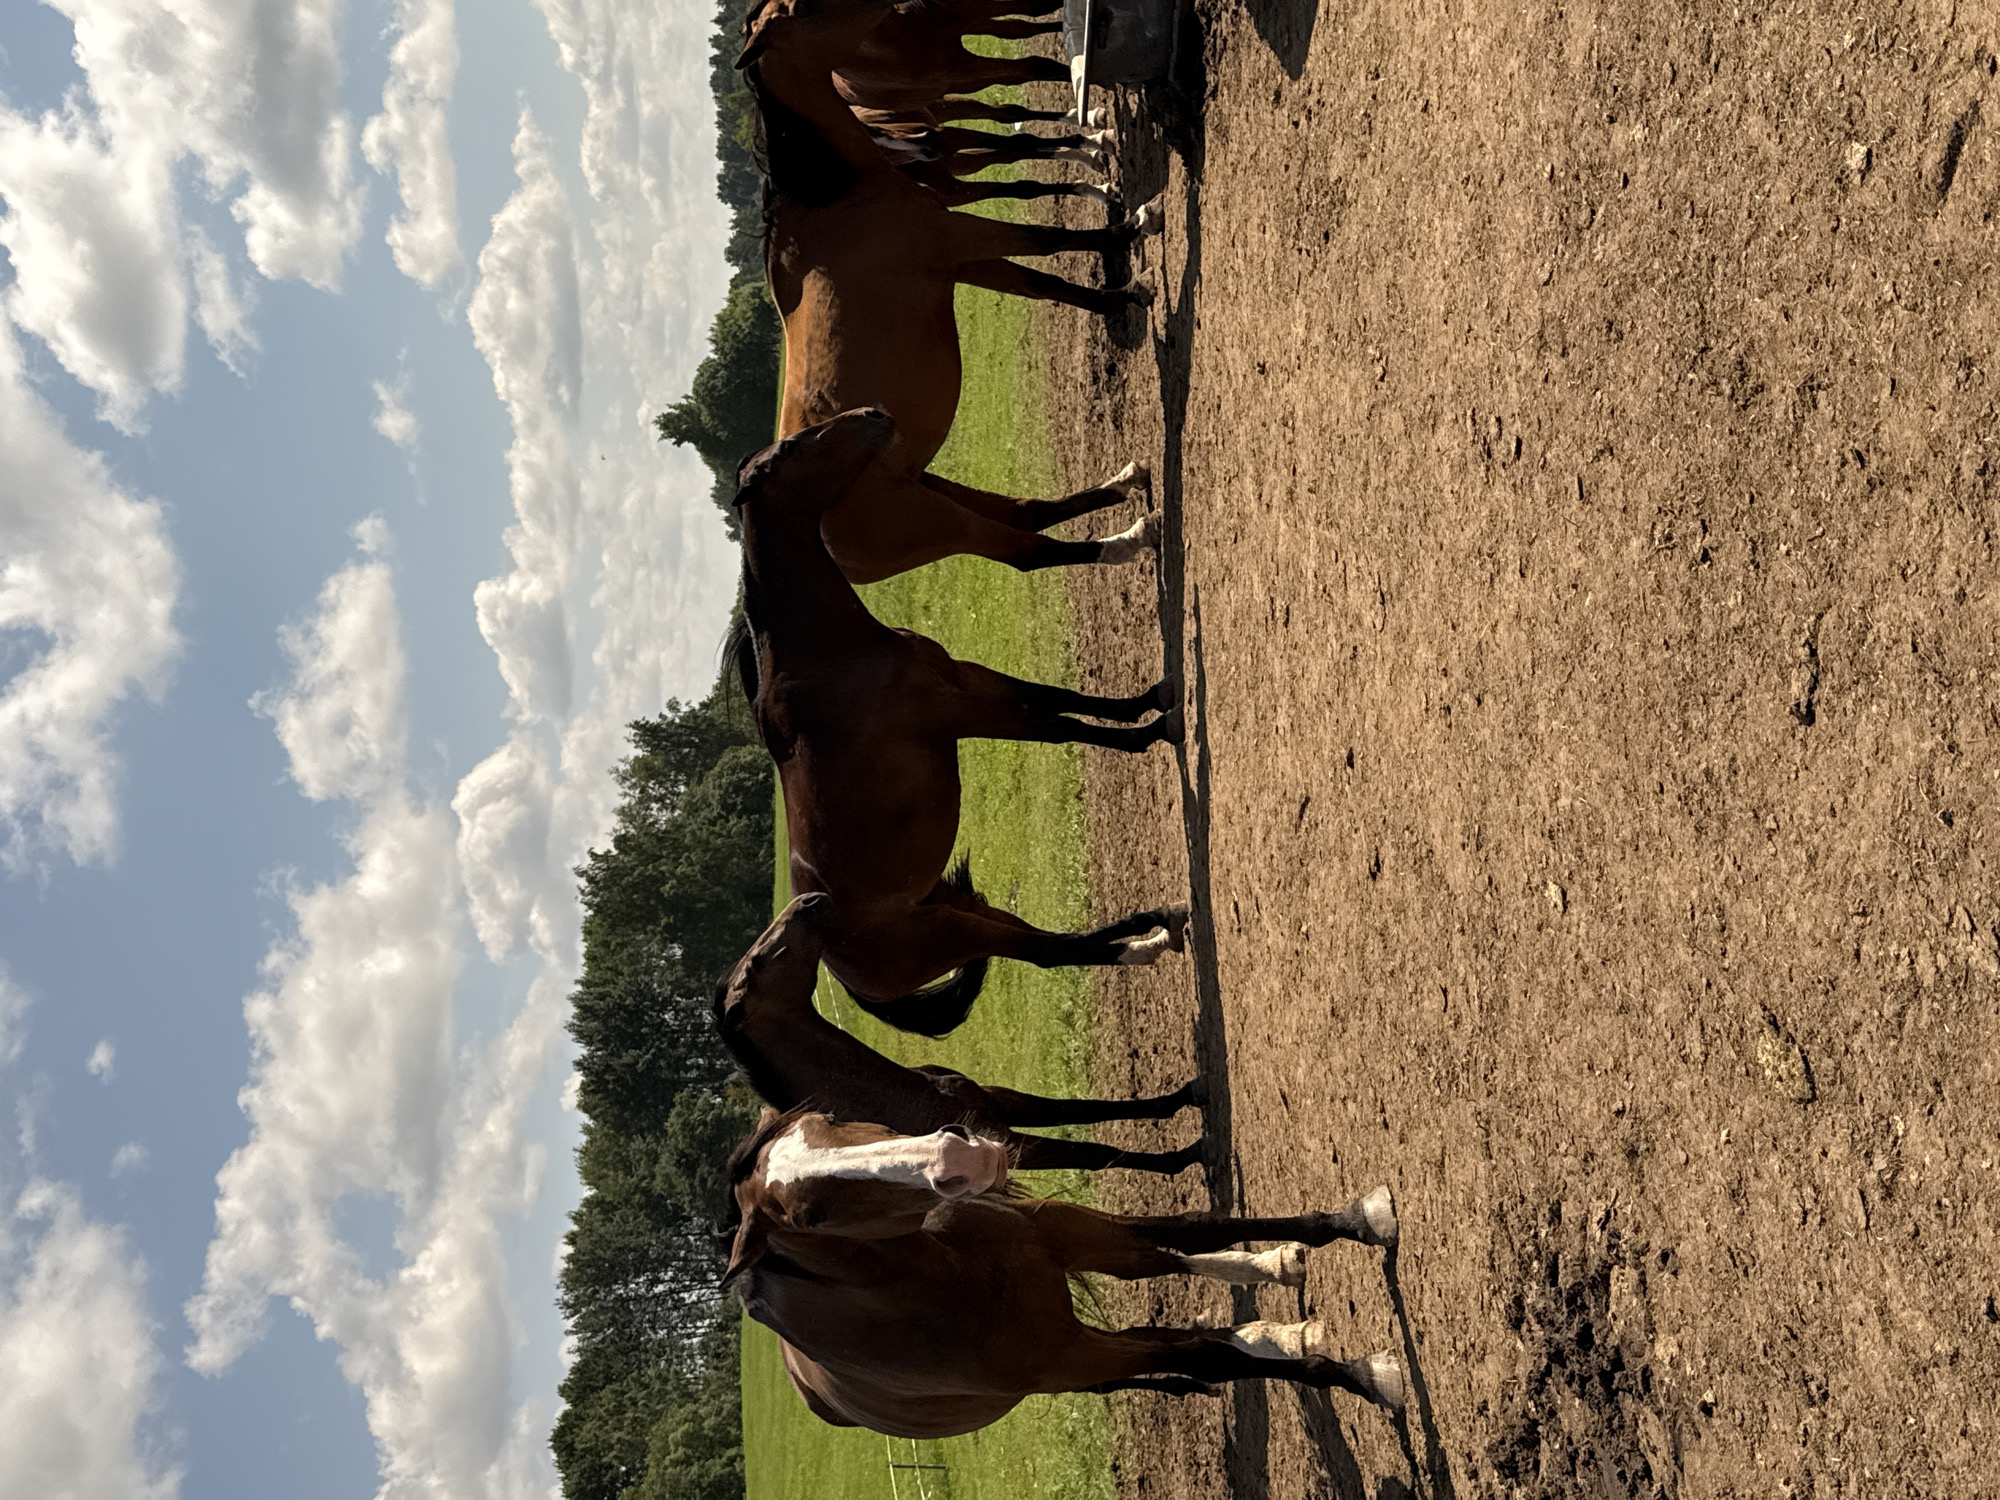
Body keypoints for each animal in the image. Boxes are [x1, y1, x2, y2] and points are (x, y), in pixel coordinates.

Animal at [716, 893, 1205, 1173]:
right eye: (759, 961)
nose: (808, 900)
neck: (899, 1095)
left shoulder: (996, 1100)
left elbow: (1085, 1110)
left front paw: (1185, 1096)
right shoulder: (1010, 1141)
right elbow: (1098, 1155)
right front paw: (1190, 1156)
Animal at [722, 1107, 1407, 1437]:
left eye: (831, 1120)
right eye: (809, 1215)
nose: (958, 1156)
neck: (948, 1274)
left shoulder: (1071, 1236)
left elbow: (1193, 1231)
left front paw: (1355, 1219)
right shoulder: (1069, 1359)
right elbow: (1209, 1358)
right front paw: (1363, 1376)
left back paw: (1274, 1310)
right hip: (1076, 1366)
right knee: (1161, 1356)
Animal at [736, 407, 1187, 1037]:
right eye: (794, 447)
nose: (874, 415)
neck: (830, 658)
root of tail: (837, 971)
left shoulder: (965, 678)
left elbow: (1056, 696)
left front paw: (1149, 697)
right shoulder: (960, 711)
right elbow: (1058, 725)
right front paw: (1155, 728)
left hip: (963, 909)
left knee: (1042, 941)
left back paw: (1156, 922)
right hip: (953, 933)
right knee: (1050, 953)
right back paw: (1146, 945)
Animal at [743, 0, 1169, 584]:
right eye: (804, 9)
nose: (889, 4)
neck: (835, 196)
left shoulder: (961, 258)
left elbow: (1043, 280)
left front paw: (1114, 292)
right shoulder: (963, 235)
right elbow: (1048, 240)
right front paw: (1133, 237)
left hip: (930, 483)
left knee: (1027, 513)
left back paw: (1126, 482)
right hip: (937, 522)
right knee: (1030, 552)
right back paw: (1134, 538)